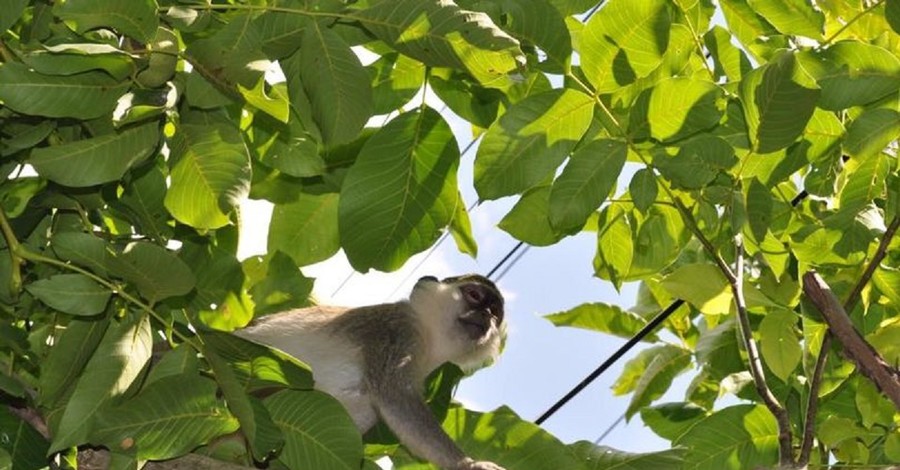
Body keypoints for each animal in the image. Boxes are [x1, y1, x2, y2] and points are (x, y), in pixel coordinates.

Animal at [236, 276, 506, 470]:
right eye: (474, 295)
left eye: (495, 312)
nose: (486, 316)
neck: (427, 336)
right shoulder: (398, 330)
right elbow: (393, 394)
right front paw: (467, 464)